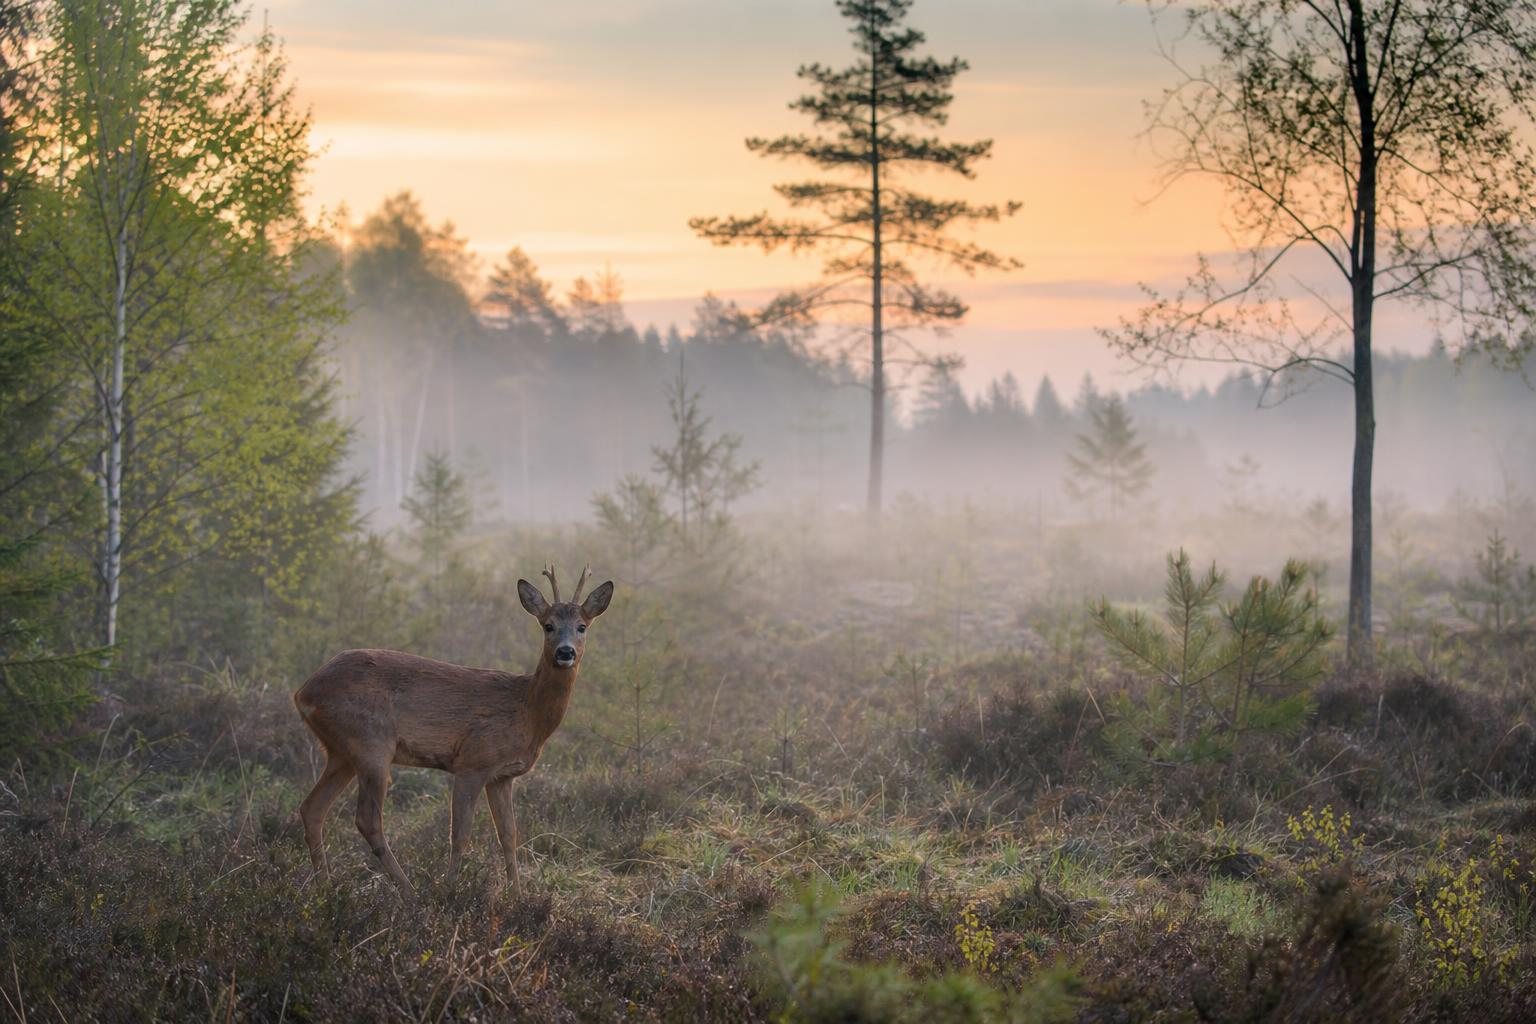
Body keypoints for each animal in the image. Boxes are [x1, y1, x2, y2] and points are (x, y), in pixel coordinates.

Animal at [292, 564, 613, 897]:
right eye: (548, 625)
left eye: (582, 626)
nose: (565, 652)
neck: (527, 709)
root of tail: (303, 692)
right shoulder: (473, 762)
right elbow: (460, 834)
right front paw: (449, 890)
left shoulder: (502, 776)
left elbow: (509, 835)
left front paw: (517, 895)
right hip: (371, 744)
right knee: (367, 819)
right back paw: (410, 893)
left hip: (341, 752)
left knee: (312, 808)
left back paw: (325, 887)